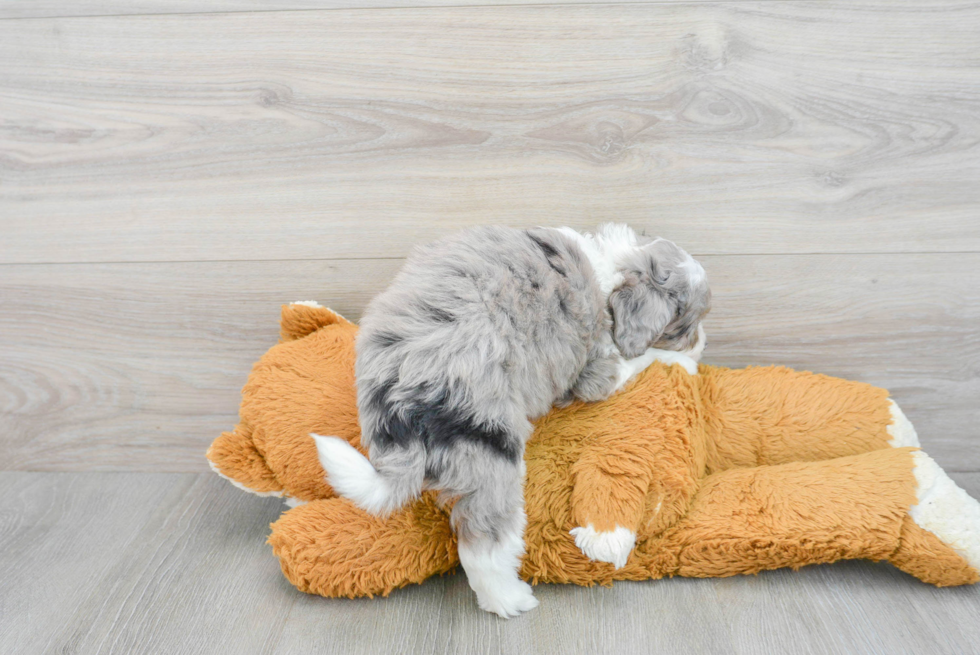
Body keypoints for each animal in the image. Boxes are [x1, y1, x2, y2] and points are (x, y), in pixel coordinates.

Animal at [314, 223, 712, 616]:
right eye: (684, 327)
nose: (703, 344)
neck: (613, 263)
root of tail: (398, 403)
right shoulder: (595, 371)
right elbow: (644, 358)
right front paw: (685, 361)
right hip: (490, 443)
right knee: (483, 542)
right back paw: (510, 600)